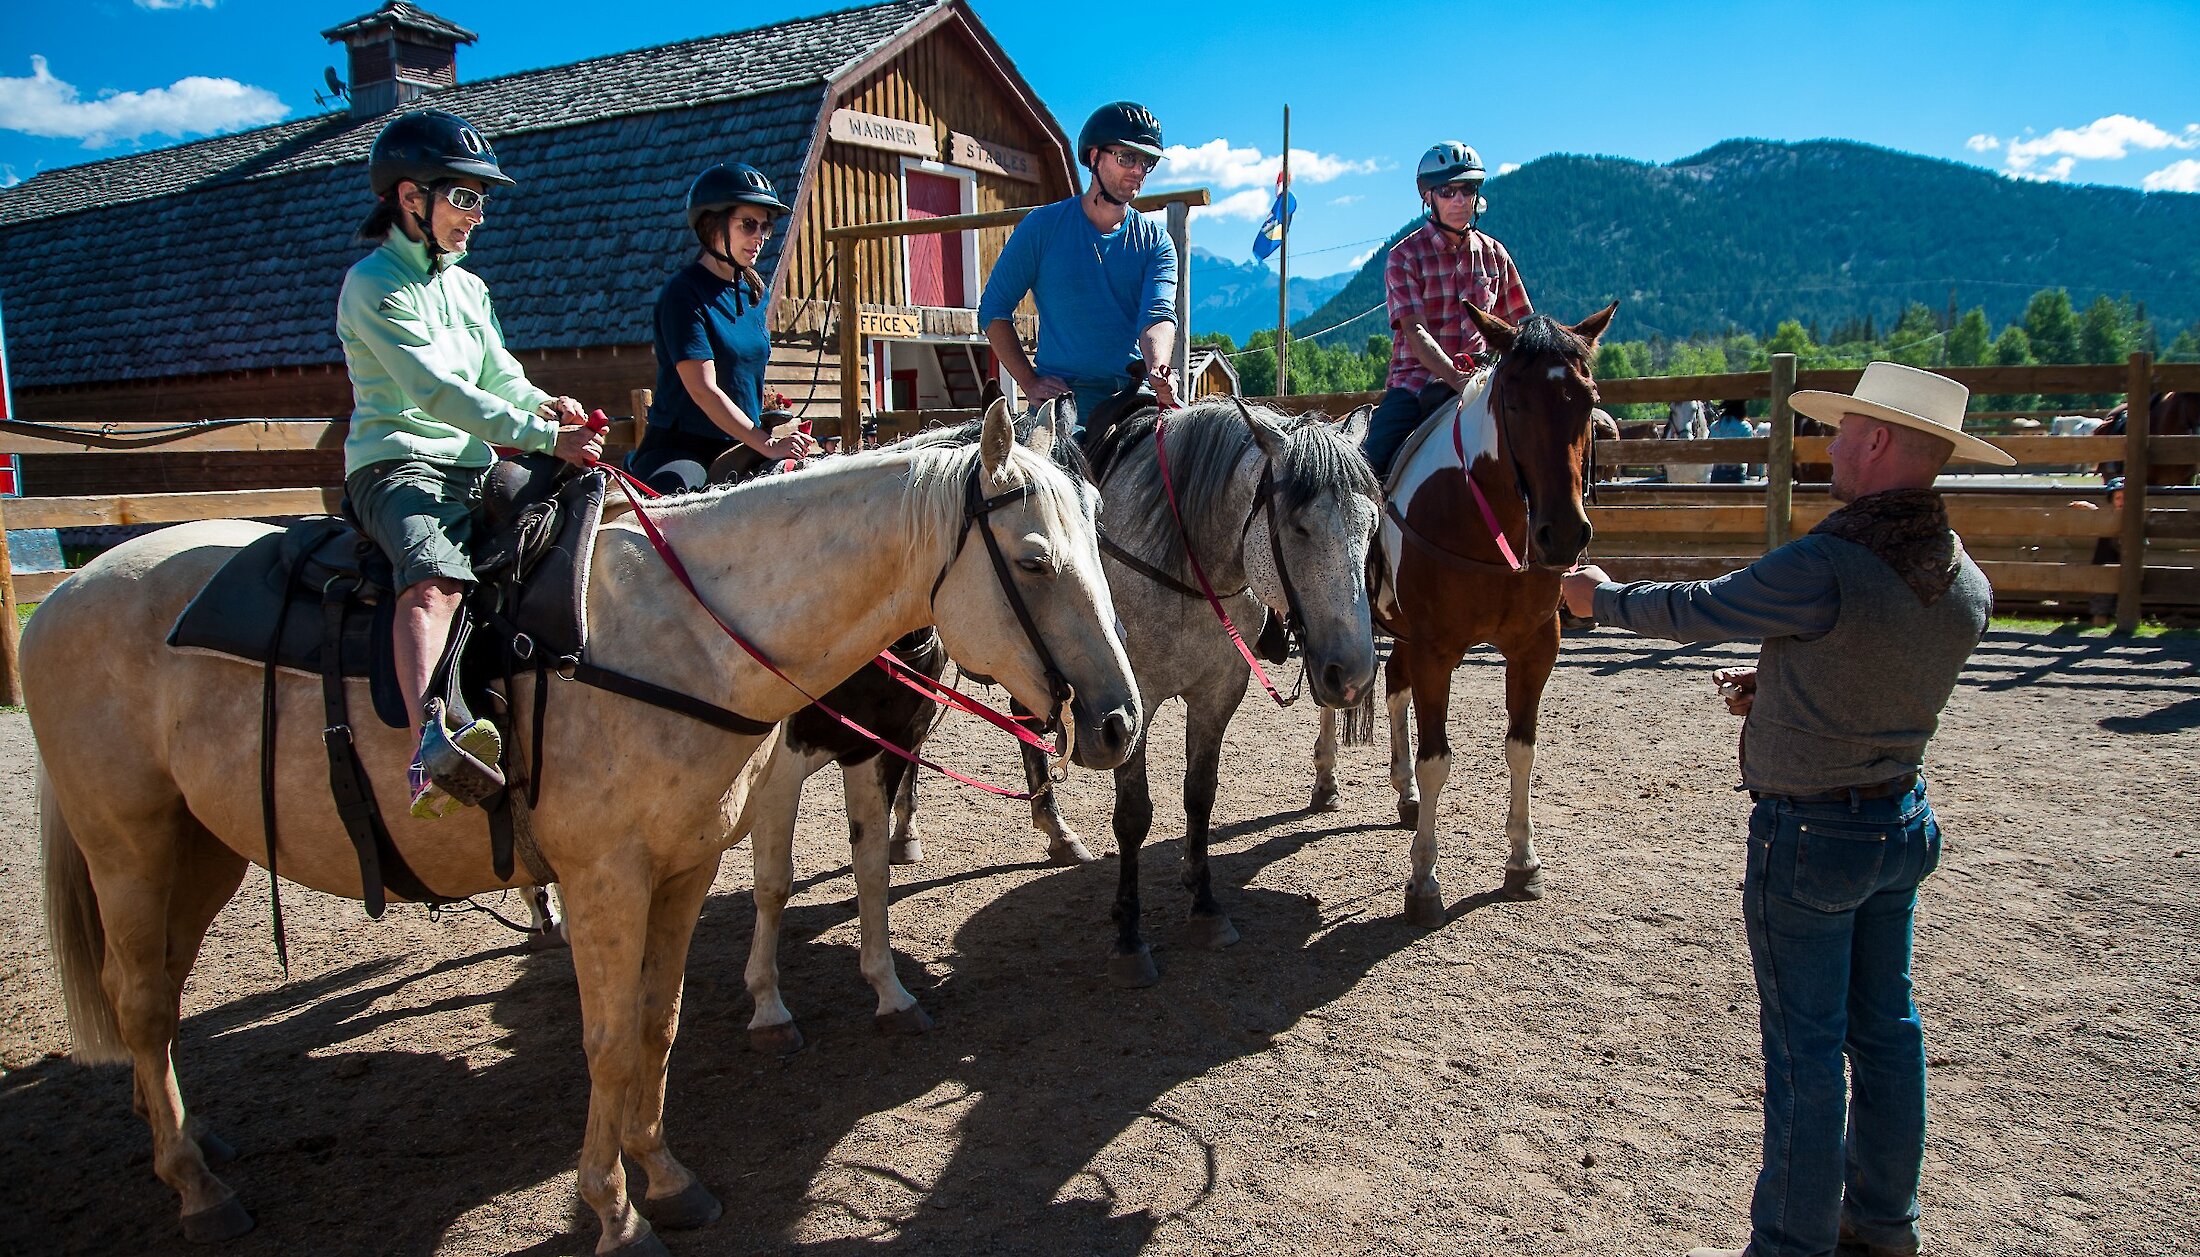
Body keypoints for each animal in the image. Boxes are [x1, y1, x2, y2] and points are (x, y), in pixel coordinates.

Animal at [30, 405, 1135, 1257]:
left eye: (1099, 541)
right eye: (1034, 560)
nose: (1119, 720)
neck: (679, 635)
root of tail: (61, 595)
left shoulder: (687, 864)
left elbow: (658, 1024)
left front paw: (666, 1177)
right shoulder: (609, 874)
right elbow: (609, 1038)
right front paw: (613, 1212)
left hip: (199, 846)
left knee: (157, 993)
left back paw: (190, 1136)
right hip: (127, 844)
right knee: (140, 1005)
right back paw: (196, 1185)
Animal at [1016, 398, 1372, 990]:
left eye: (1371, 527)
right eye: (1299, 527)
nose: (1354, 675)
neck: (1183, 559)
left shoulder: (1219, 692)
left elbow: (1200, 795)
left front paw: (1204, 905)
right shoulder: (1129, 704)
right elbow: (1133, 815)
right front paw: (1129, 935)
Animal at [1320, 305, 1619, 924]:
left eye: (1587, 399)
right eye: (1515, 401)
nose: (1563, 535)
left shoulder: (1535, 647)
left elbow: (1522, 749)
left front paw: (1523, 862)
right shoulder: (1438, 651)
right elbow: (1439, 758)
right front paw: (1423, 883)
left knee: (1394, 684)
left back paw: (1406, 793)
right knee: (1330, 693)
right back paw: (1327, 781)